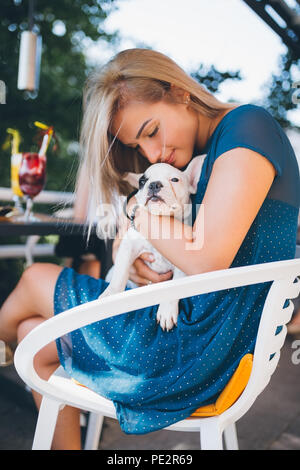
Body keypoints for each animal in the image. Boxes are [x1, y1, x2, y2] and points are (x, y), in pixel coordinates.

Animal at [99, 154, 206, 330]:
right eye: (142, 181)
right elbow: (120, 272)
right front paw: (111, 294)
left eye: (175, 179)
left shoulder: (184, 261)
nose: (154, 184)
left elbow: (176, 284)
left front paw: (167, 310)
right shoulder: (128, 246)